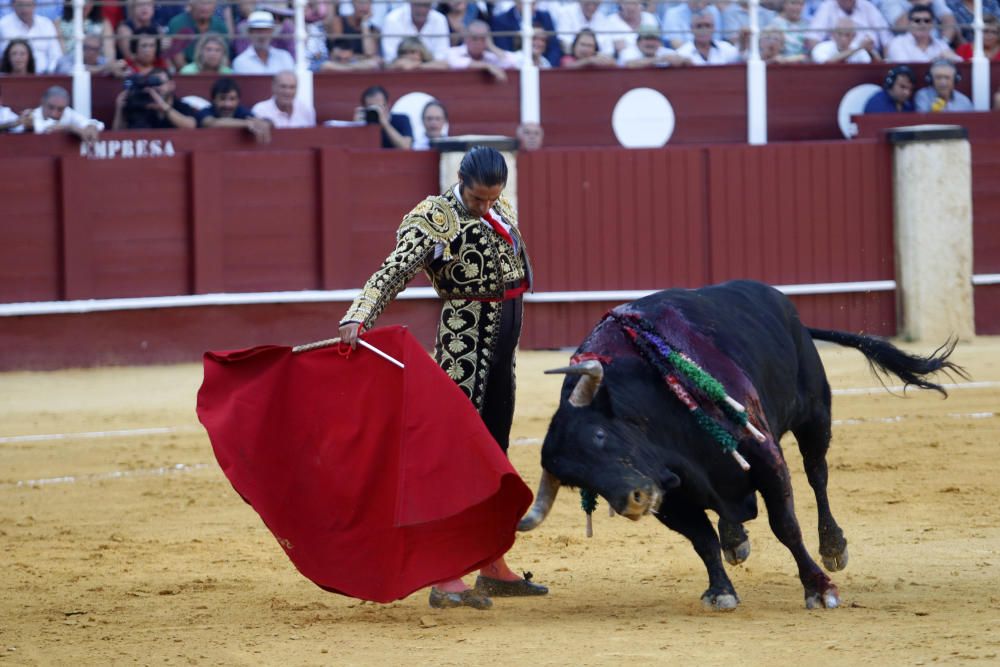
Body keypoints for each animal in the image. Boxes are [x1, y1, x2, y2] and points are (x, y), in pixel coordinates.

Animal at [516, 280, 960, 612]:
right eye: (576, 480)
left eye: (599, 435)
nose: (633, 501)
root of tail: (786, 307)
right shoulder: (671, 494)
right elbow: (701, 539)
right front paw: (721, 590)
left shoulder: (763, 455)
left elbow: (786, 525)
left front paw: (819, 588)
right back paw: (735, 538)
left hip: (815, 416)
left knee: (817, 475)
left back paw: (833, 544)